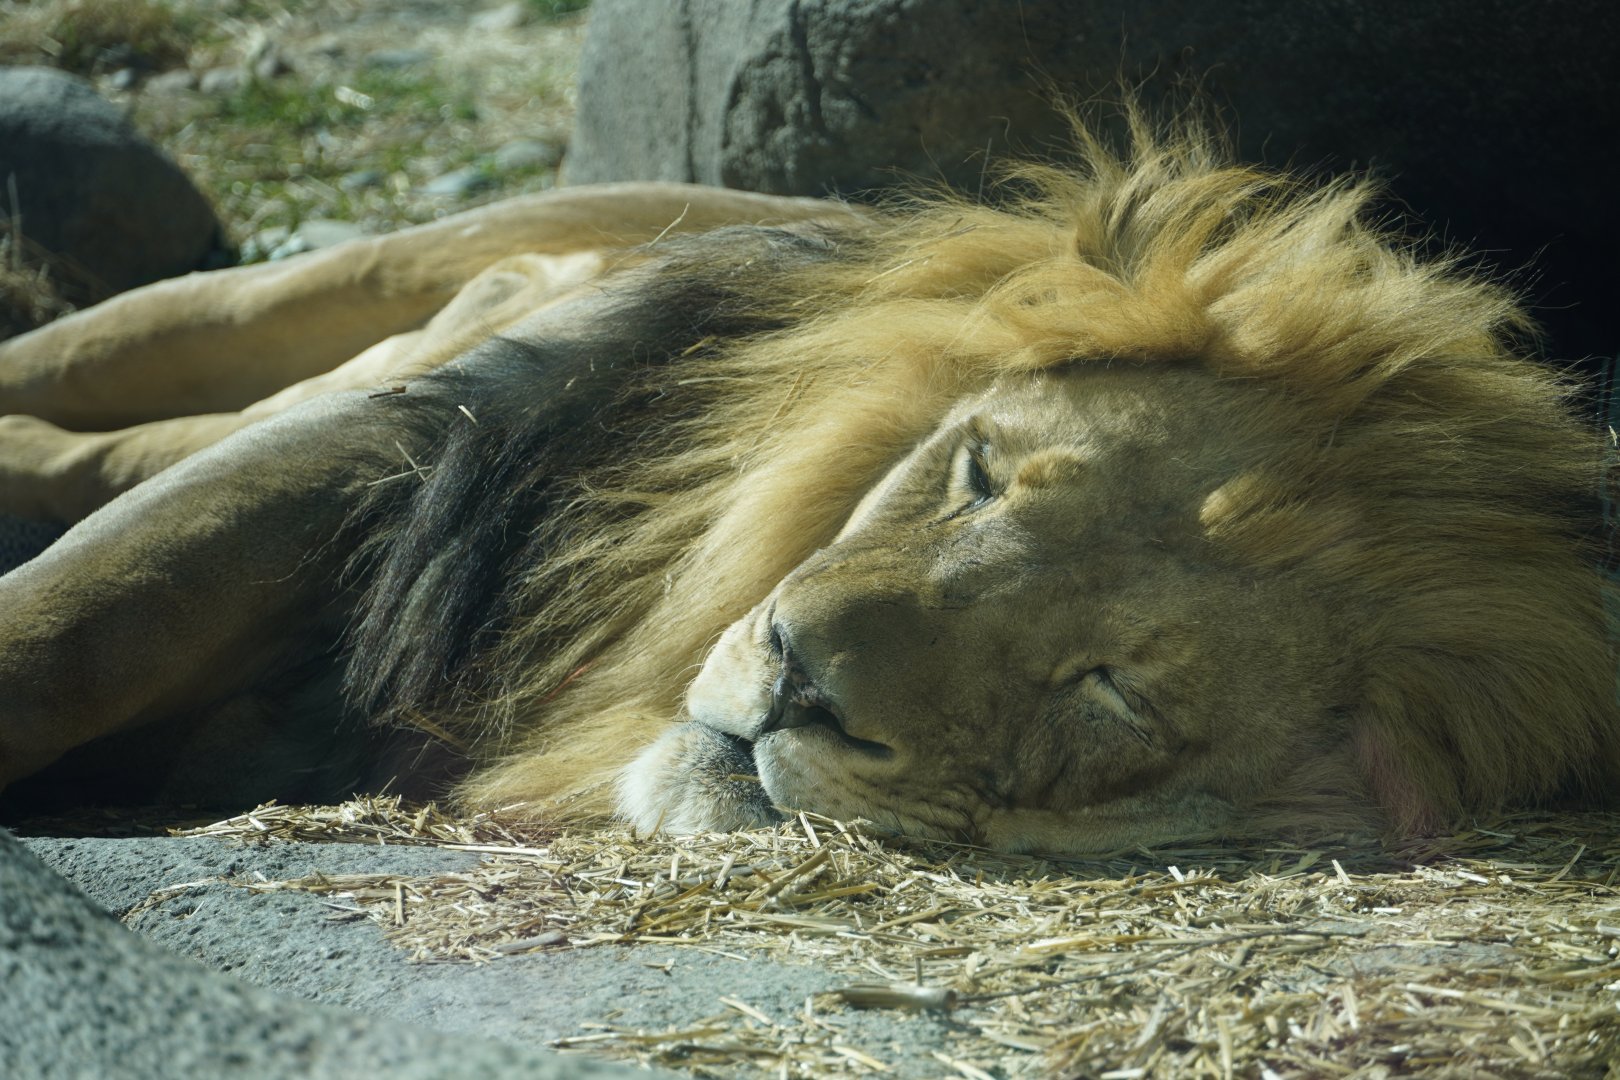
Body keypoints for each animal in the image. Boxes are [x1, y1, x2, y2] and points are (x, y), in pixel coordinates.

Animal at [1, 115, 1615, 853]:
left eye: (1107, 694)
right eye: (977, 474)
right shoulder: (417, 443)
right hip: (357, 278)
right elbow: (80, 620)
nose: (797, 682)